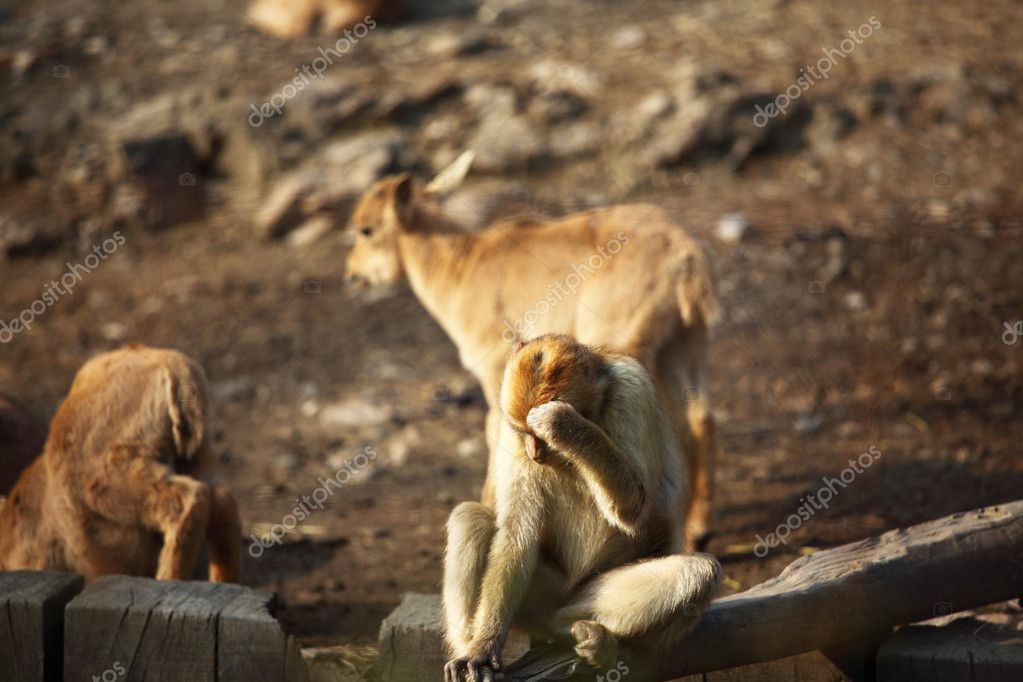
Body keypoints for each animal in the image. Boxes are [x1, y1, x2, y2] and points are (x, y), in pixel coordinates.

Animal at [443, 337, 724, 682]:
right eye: (524, 435)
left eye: (541, 439)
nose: (534, 453)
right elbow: (516, 534)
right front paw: (482, 648)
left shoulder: (632, 390)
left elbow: (634, 508)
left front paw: (562, 424)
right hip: (541, 597)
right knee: (471, 518)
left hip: (583, 594)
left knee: (698, 571)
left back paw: (570, 629)